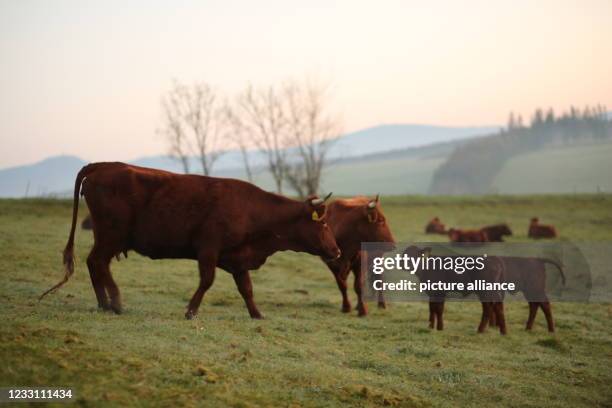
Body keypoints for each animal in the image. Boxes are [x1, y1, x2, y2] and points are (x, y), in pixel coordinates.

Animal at [40, 162, 342, 318]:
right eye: (324, 223)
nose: (337, 251)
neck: (251, 209)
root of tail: (103, 166)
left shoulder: (238, 258)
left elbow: (247, 289)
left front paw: (257, 314)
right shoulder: (208, 248)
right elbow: (207, 280)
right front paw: (191, 310)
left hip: (106, 236)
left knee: (95, 264)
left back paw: (104, 303)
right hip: (111, 235)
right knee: (98, 262)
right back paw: (115, 303)